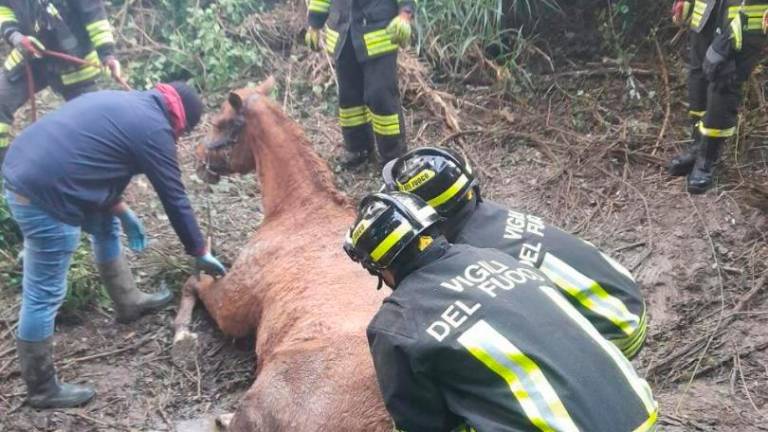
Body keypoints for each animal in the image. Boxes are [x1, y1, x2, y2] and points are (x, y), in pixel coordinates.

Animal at [172, 77, 391, 431]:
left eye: (220, 122)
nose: (199, 156)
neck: (300, 207)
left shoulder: (233, 305)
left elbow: (194, 282)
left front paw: (182, 334)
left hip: (261, 399)